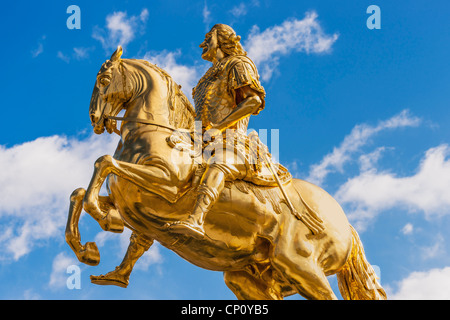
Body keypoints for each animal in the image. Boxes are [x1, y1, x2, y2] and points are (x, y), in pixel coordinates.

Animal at [65, 47, 384, 300]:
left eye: (103, 80)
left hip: (301, 267)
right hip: (250, 278)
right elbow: (79, 192)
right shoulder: (126, 196)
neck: (154, 134)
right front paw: (87, 250)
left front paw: (105, 219)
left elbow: (103, 162)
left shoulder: (168, 183)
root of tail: (346, 225)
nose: (95, 119)